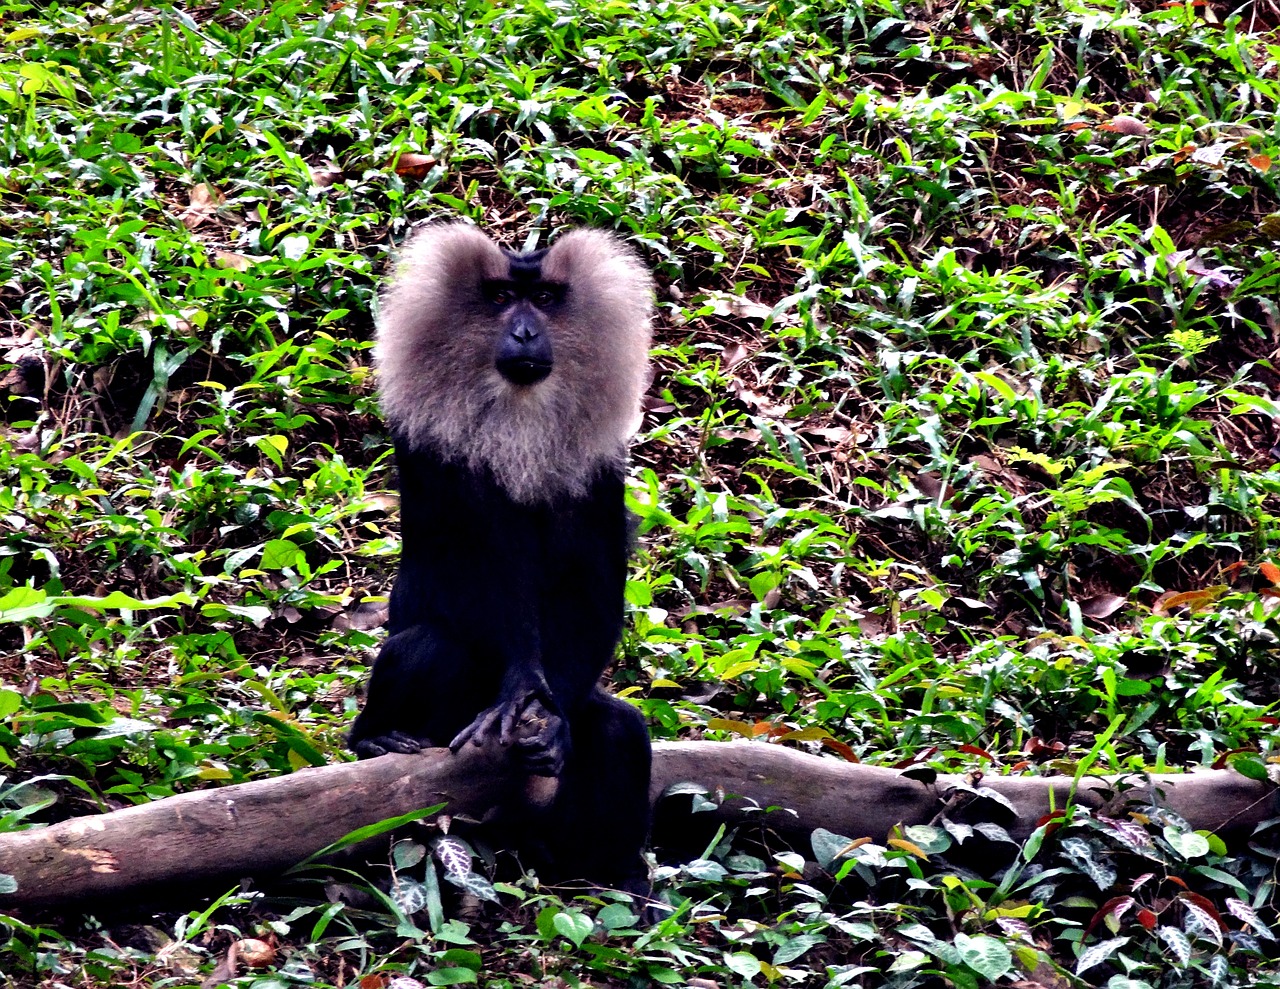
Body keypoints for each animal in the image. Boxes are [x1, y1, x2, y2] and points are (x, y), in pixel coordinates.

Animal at [348, 220, 655, 900]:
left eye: (542, 299)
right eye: (497, 299)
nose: (523, 333)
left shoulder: (602, 471)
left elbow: (591, 583)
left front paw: (552, 717)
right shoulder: (434, 451)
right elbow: (472, 566)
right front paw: (520, 691)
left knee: (617, 728)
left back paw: (614, 876)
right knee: (432, 644)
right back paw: (374, 735)